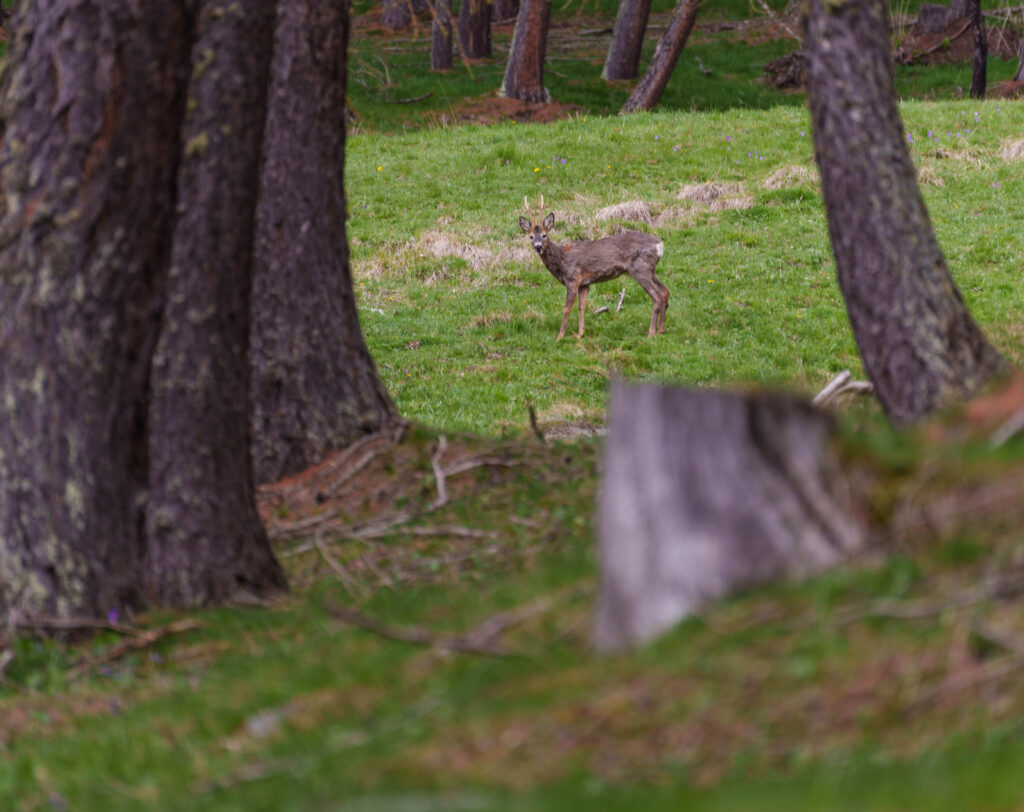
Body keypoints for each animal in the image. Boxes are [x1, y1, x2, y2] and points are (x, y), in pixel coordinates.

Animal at [516, 194, 667, 337]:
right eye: (530, 236)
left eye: (544, 235)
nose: (538, 247)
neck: (562, 260)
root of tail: (659, 245)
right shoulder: (584, 283)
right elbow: (581, 306)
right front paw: (580, 333)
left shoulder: (573, 279)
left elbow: (567, 308)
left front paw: (560, 336)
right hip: (650, 270)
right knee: (665, 291)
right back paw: (661, 330)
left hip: (640, 268)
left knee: (657, 296)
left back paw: (651, 333)